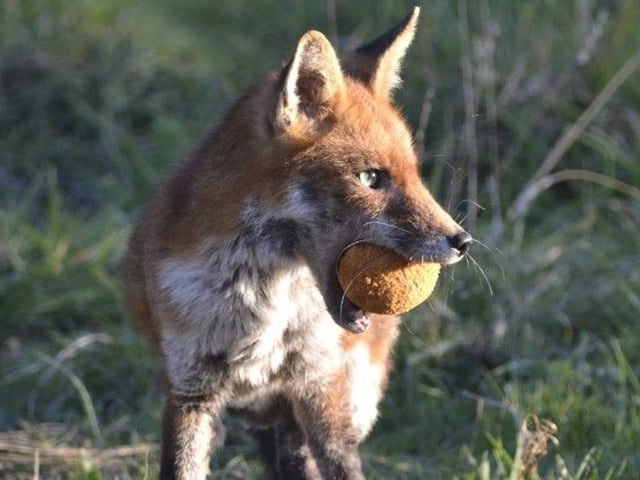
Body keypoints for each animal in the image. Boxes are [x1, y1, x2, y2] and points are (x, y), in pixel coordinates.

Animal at [126, 7, 472, 480]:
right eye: (370, 178)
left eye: (416, 174)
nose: (463, 240)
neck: (261, 300)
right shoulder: (189, 388)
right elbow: (182, 466)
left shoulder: (319, 382)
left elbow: (341, 463)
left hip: (351, 394)